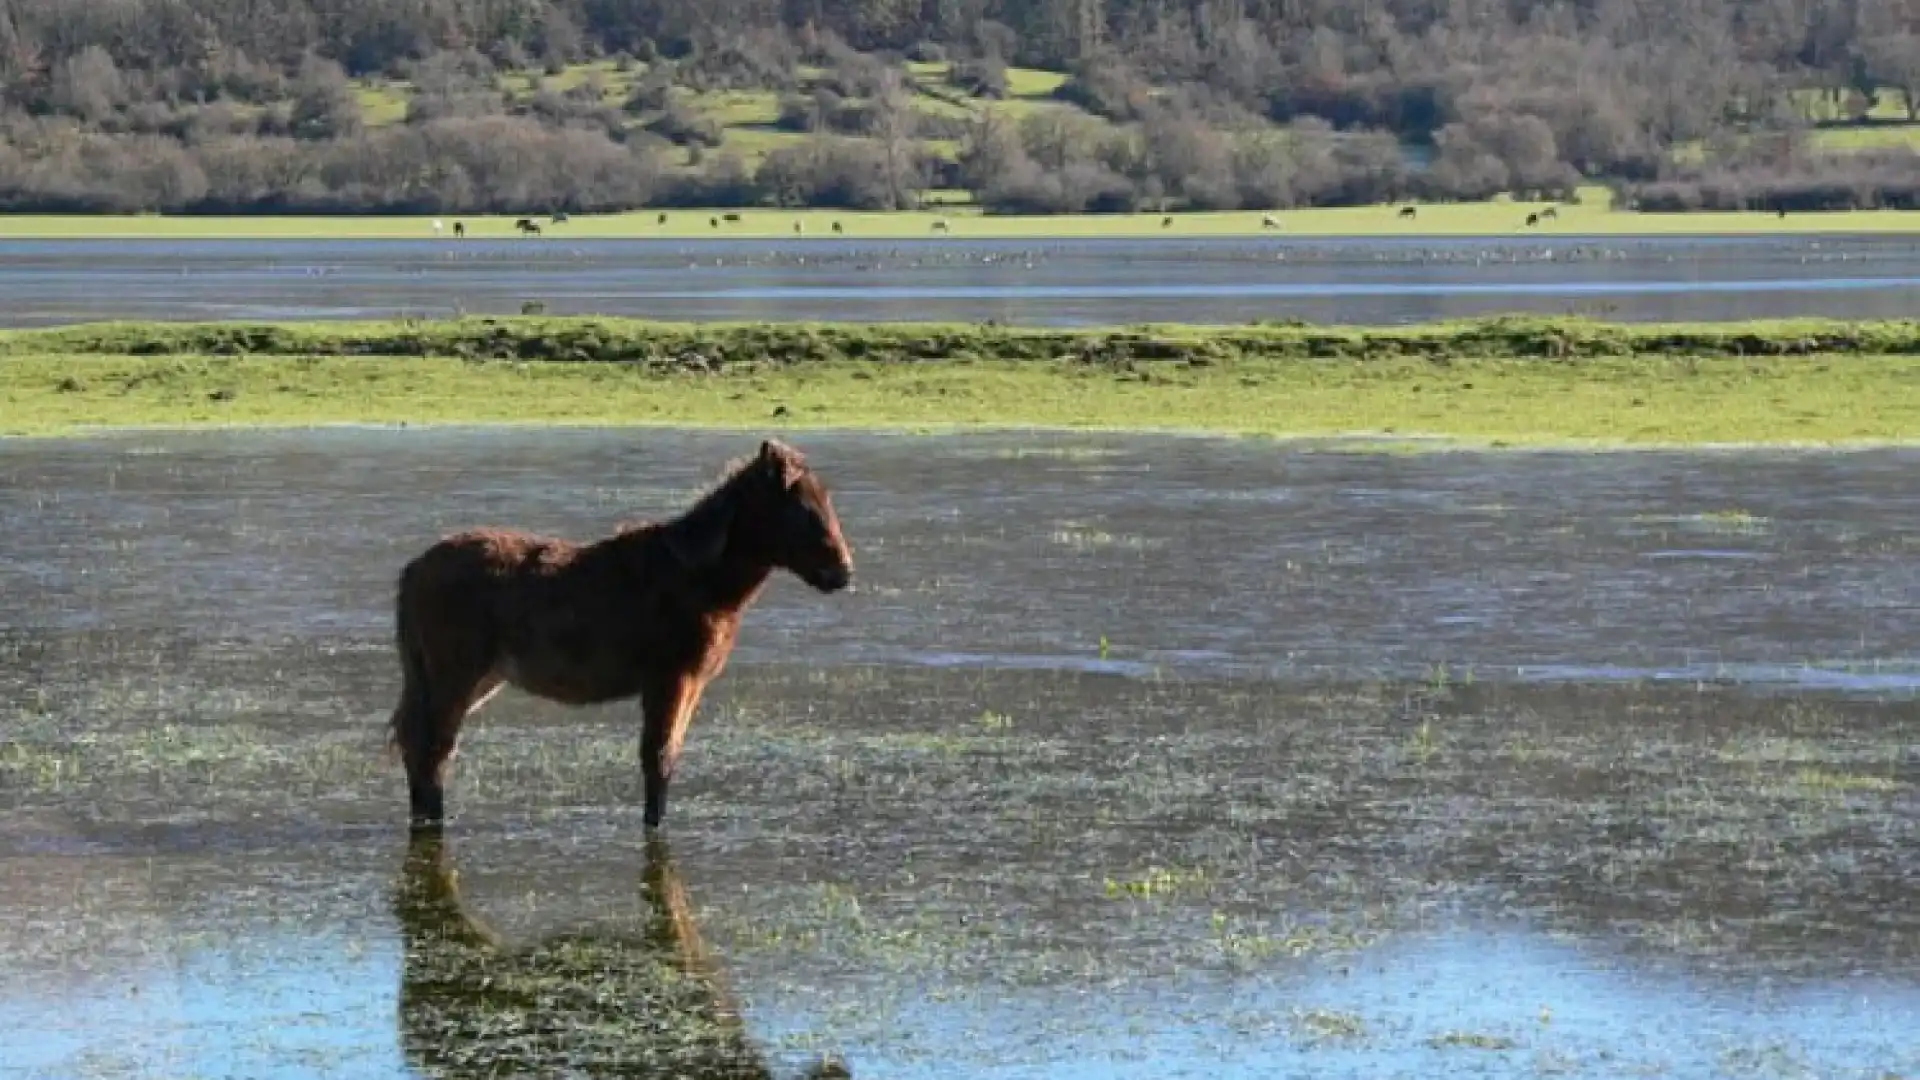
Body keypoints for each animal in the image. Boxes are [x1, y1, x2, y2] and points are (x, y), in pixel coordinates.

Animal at [385, 438, 852, 822]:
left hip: (470, 676)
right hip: (454, 674)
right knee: (432, 749)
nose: (842, 571)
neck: (707, 584)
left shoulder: (689, 682)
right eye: (803, 509)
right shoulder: (669, 677)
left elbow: (668, 756)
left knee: (418, 745)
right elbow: (658, 759)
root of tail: (410, 573)